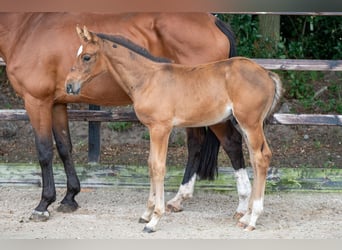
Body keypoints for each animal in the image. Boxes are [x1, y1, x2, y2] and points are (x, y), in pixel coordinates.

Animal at [0, 13, 248, 221]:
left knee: (231, 142)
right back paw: (179, 199)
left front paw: (43, 205)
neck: (26, 29)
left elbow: (44, 152)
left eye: (87, 57)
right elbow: (64, 148)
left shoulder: (36, 101)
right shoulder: (57, 103)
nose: (71, 83)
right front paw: (70, 197)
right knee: (197, 143)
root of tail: (214, 21)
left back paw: (241, 205)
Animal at [65, 26, 282, 231]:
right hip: (245, 125)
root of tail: (267, 74)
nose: (69, 85)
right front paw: (146, 213)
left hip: (250, 123)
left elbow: (159, 167)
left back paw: (252, 219)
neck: (147, 79)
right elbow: (150, 165)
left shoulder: (161, 129)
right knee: (254, 159)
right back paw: (246, 216)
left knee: (261, 157)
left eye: (86, 56)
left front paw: (154, 220)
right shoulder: (152, 129)